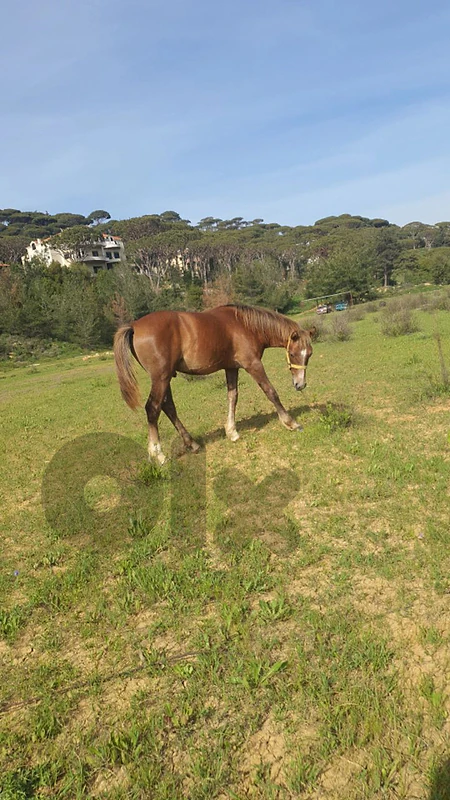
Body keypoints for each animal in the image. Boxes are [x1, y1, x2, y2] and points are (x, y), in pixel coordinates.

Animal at [113, 304, 315, 464]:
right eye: (294, 354)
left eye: (309, 354)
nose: (300, 384)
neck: (245, 326)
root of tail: (134, 326)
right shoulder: (253, 364)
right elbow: (270, 391)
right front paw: (291, 423)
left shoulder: (231, 368)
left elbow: (232, 397)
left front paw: (232, 432)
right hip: (160, 378)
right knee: (153, 408)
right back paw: (158, 454)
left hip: (166, 378)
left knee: (168, 407)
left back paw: (192, 444)